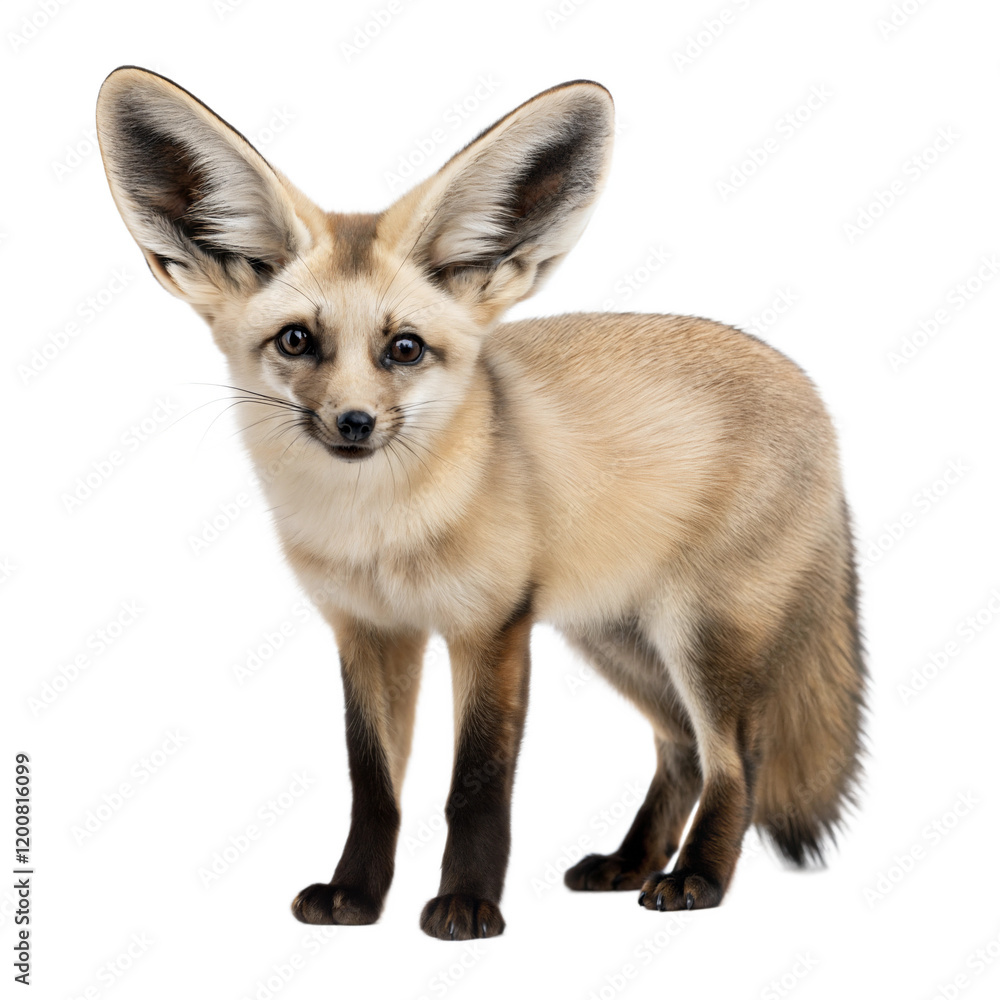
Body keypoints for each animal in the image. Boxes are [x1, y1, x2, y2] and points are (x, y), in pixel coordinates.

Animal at [95, 67, 865, 940]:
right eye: (296, 341)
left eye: (404, 348)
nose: (353, 423)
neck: (382, 535)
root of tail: (806, 384)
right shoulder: (370, 631)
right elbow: (374, 786)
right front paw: (356, 896)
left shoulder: (492, 628)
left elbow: (477, 786)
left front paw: (467, 904)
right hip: (615, 636)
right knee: (682, 749)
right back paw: (632, 862)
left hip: (698, 636)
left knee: (737, 756)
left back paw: (697, 876)